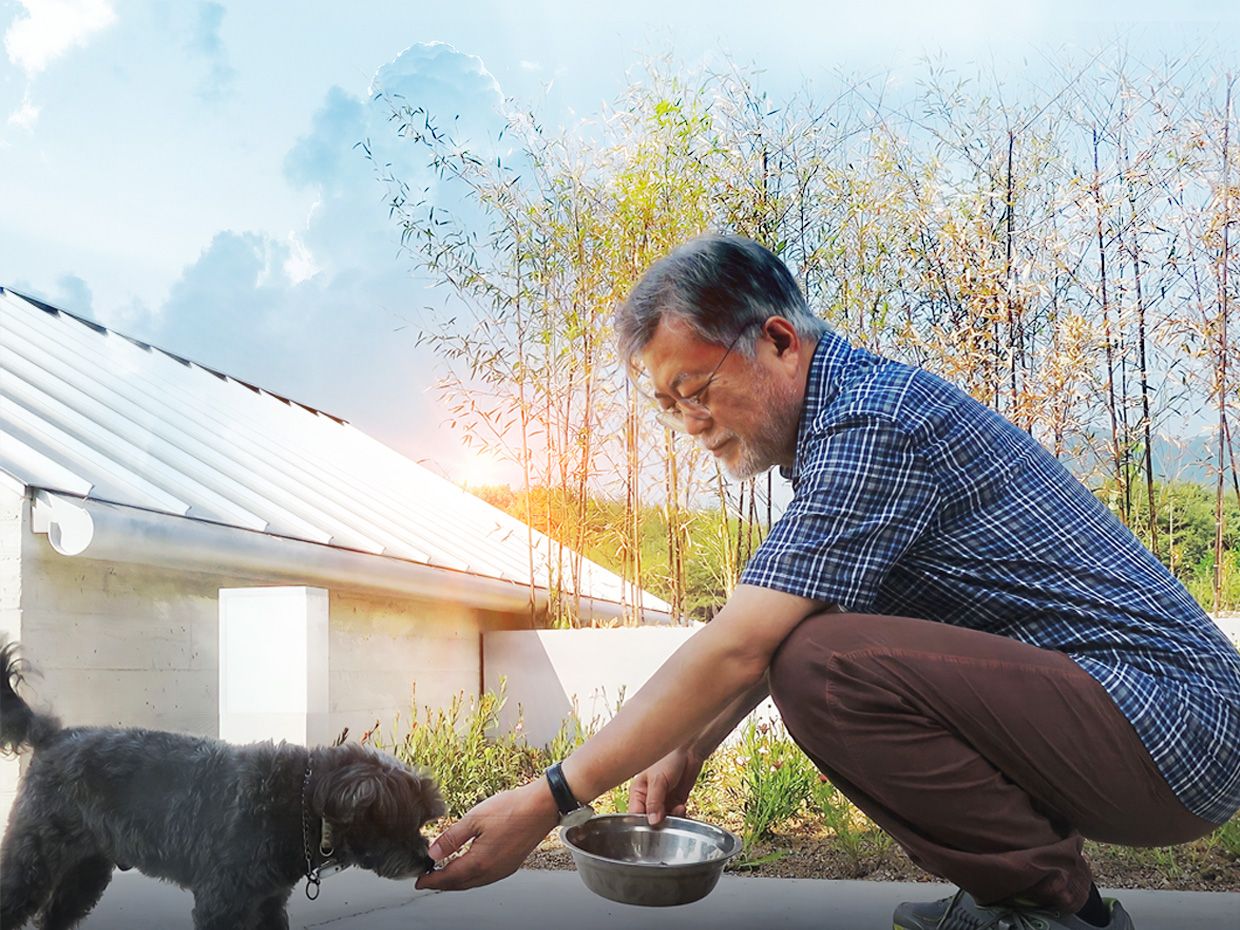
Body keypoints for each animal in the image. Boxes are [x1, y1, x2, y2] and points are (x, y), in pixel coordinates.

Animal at [0, 644, 446, 930]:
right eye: (401, 821)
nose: (427, 861)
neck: (301, 803)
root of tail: (53, 736)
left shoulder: (268, 904)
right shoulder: (223, 902)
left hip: (86, 869)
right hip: (33, 860)